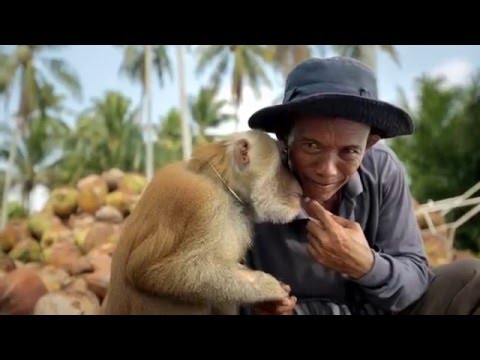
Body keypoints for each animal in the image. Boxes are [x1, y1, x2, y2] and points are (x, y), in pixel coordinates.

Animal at [100, 130, 304, 316]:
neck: (222, 183)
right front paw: (267, 286)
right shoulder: (204, 204)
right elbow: (153, 271)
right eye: (284, 160)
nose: (297, 182)